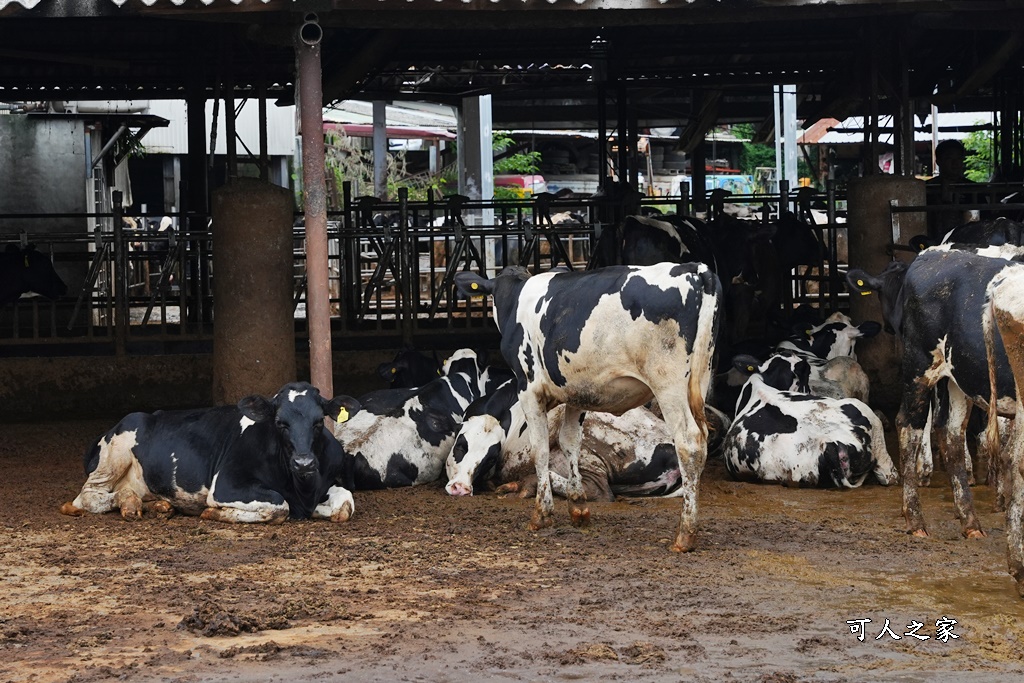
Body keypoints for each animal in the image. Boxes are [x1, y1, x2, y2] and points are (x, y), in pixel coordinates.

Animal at [59, 385, 362, 524]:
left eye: (319, 422)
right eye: (280, 423)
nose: (304, 462)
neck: (302, 490)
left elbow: (345, 503)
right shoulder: (226, 484)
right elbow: (279, 505)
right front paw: (214, 513)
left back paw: (158, 505)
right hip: (113, 456)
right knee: (88, 497)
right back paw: (129, 502)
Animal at [456, 264, 720, 557]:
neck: (516, 295)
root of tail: (694, 269)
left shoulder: (528, 387)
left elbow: (540, 449)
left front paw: (542, 514)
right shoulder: (578, 391)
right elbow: (570, 442)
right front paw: (577, 507)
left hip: (668, 385)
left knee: (689, 444)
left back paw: (685, 534)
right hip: (700, 381)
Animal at [843, 245, 1019, 540]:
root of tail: (934, 254)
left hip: (961, 376)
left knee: (952, 434)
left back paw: (970, 522)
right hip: (920, 365)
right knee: (909, 426)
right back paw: (916, 520)